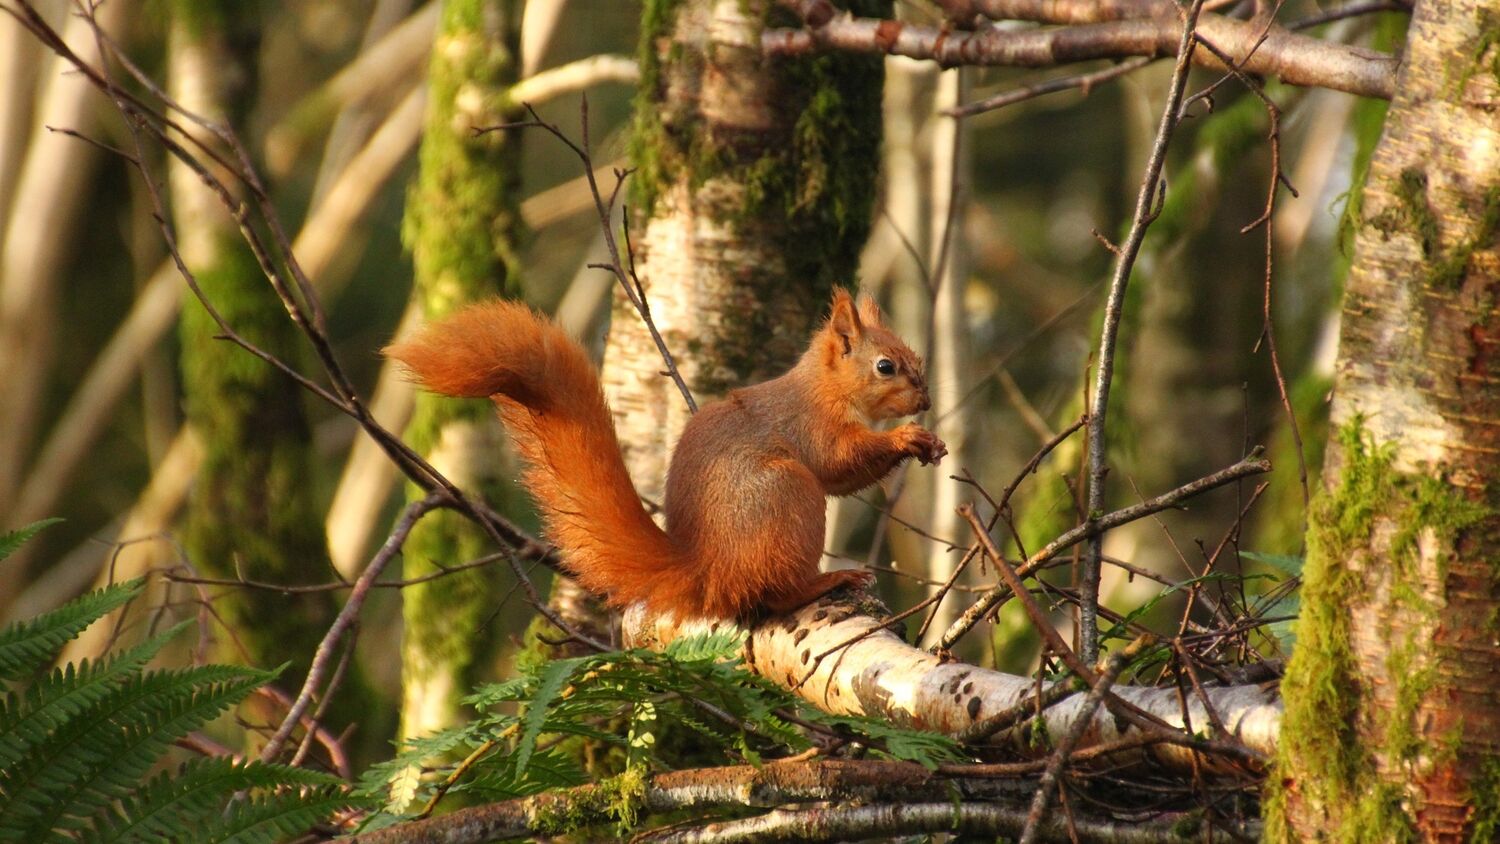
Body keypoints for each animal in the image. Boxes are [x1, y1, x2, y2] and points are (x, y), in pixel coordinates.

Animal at [387, 290, 948, 620]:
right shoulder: (812, 428)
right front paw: (906, 439)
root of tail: (706, 571)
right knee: (772, 593)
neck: (825, 388)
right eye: (885, 366)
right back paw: (827, 580)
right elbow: (838, 464)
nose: (924, 402)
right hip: (788, 495)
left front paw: (929, 442)